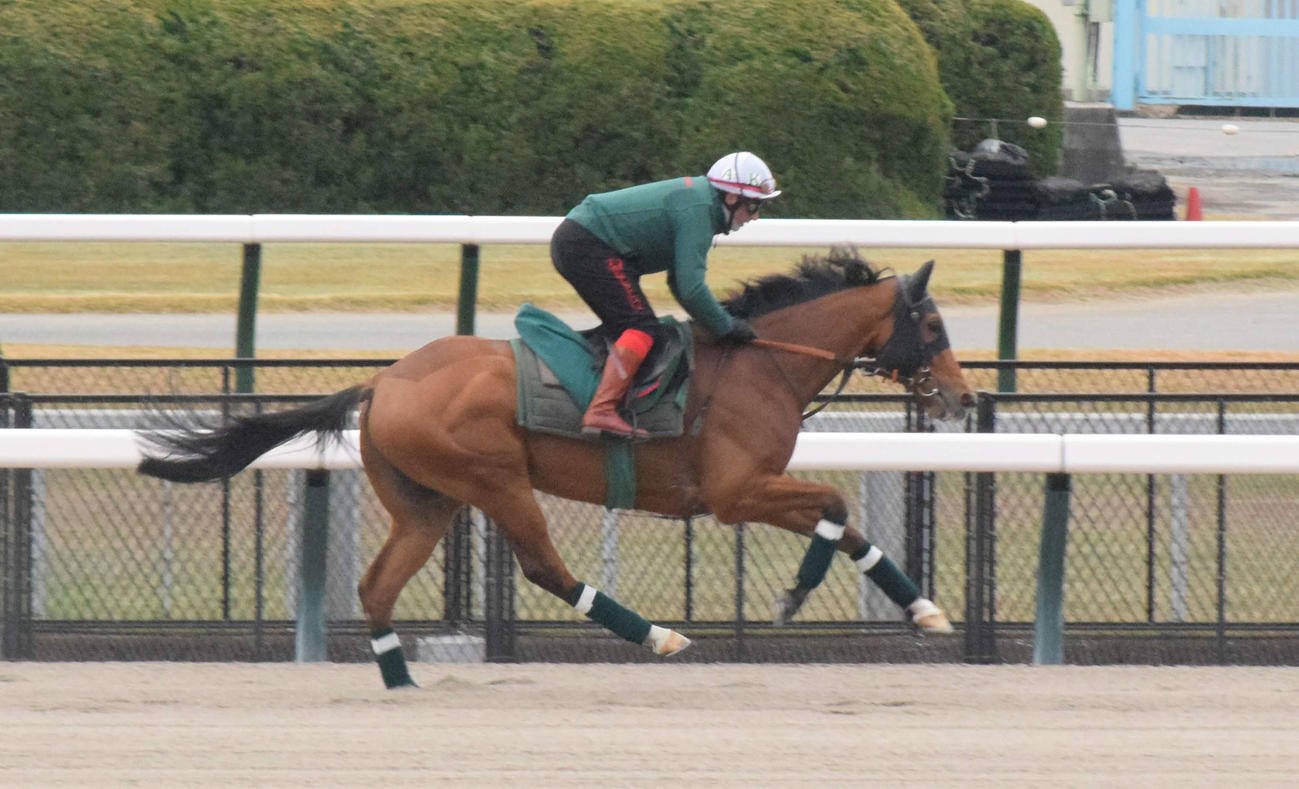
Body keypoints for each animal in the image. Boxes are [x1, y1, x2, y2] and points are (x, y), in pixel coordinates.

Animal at [138, 249, 976, 688]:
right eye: (933, 324)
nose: (963, 397)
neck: (761, 362)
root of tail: (382, 381)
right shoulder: (735, 492)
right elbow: (834, 505)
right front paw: (796, 594)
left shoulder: (749, 490)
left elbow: (848, 524)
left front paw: (922, 609)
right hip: (495, 479)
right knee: (544, 567)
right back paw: (657, 636)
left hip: (426, 501)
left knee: (378, 585)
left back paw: (401, 681)